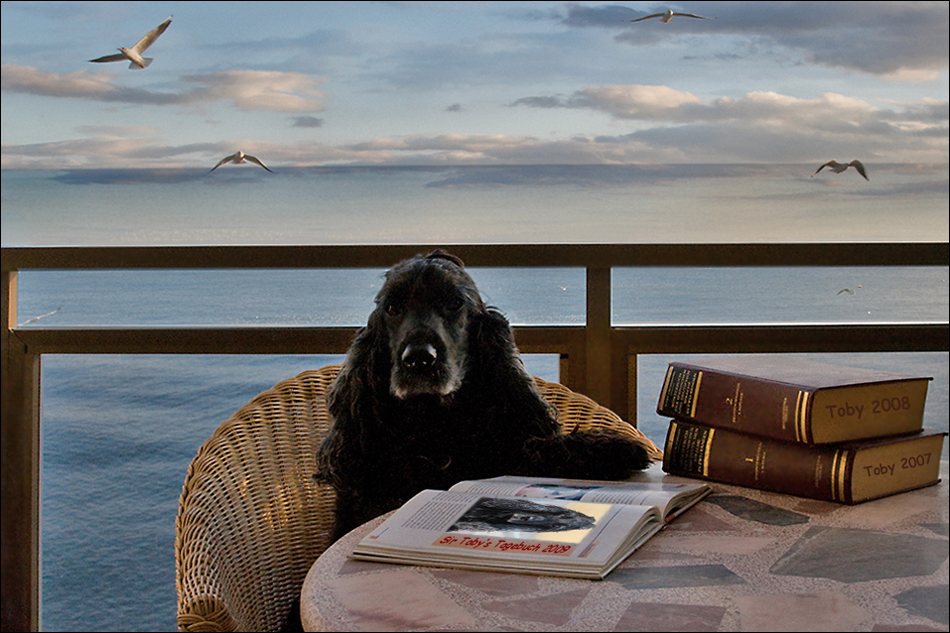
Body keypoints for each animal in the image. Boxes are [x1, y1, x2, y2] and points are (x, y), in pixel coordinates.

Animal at [318, 252, 656, 540]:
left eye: (454, 302)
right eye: (392, 308)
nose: (418, 359)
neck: (434, 426)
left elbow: (532, 450)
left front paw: (609, 448)